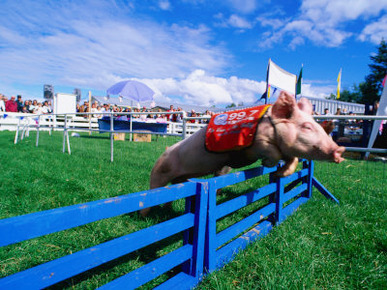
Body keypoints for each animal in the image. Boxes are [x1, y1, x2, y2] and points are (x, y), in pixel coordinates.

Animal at [142, 92, 346, 216]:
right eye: (307, 127)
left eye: (318, 126)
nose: (339, 150)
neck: (272, 125)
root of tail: (165, 152)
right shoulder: (259, 142)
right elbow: (272, 152)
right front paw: (268, 164)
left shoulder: (287, 150)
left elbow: (293, 160)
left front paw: (280, 174)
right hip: (159, 172)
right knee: (151, 193)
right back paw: (144, 216)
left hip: (181, 178)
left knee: (172, 192)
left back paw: (167, 209)